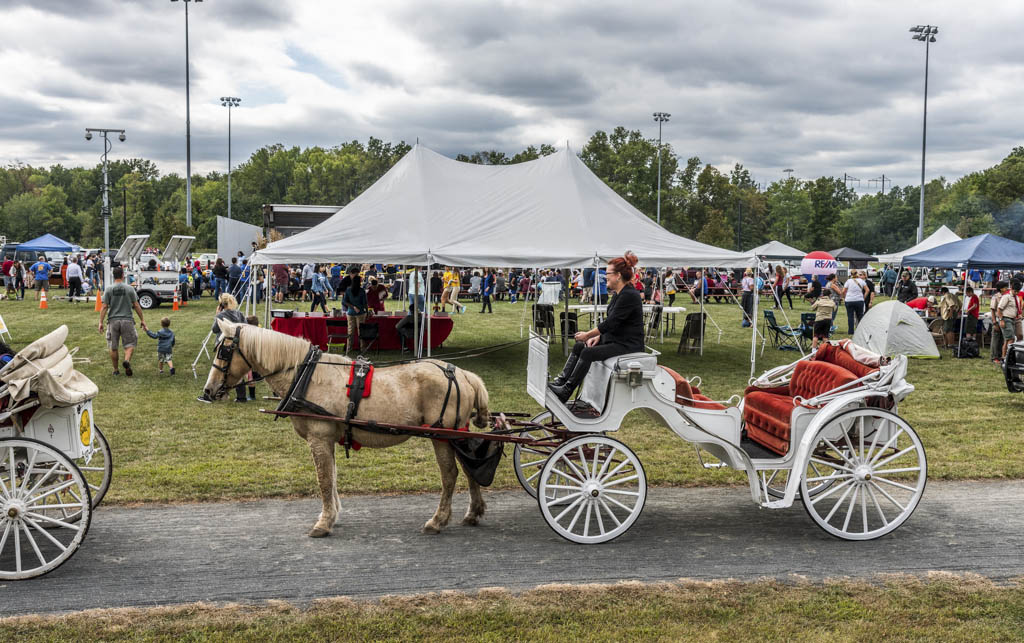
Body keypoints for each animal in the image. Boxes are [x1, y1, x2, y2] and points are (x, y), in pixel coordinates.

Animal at [203, 319, 491, 536]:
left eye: (223, 351)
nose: (208, 391)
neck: (306, 376)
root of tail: (463, 374)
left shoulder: (319, 437)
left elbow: (323, 479)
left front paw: (323, 522)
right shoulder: (327, 439)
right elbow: (331, 476)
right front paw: (332, 515)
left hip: (441, 435)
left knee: (450, 474)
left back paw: (438, 520)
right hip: (457, 434)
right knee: (469, 469)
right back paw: (473, 512)